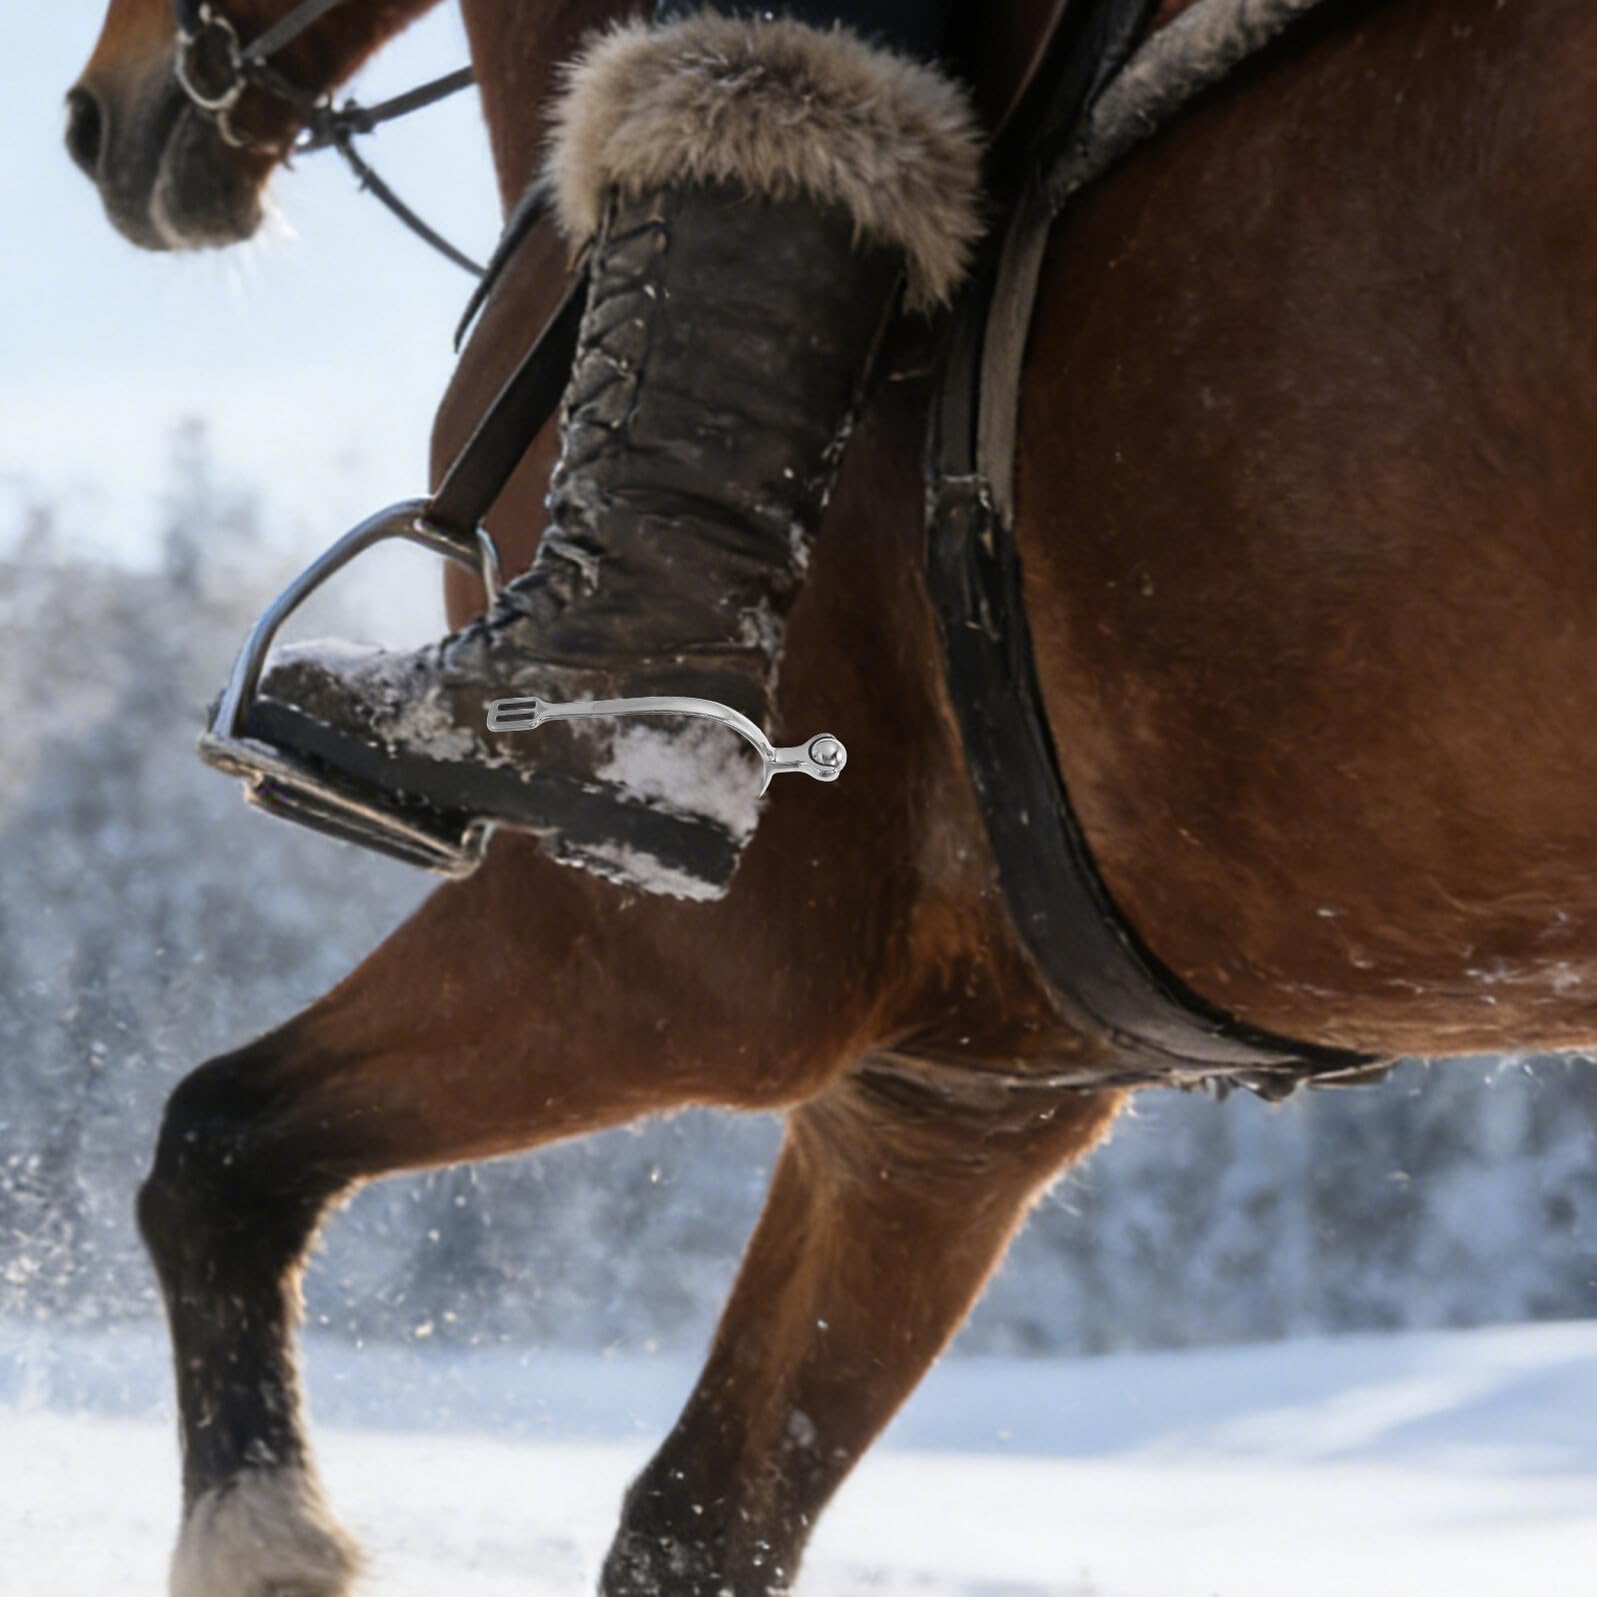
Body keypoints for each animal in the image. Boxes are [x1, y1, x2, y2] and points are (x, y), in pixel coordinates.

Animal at [67, 0, 1597, 1591]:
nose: (96, 119)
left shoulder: (659, 959)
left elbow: (215, 1150)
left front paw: (267, 1538)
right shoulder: (950, 1108)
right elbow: (701, 1517)